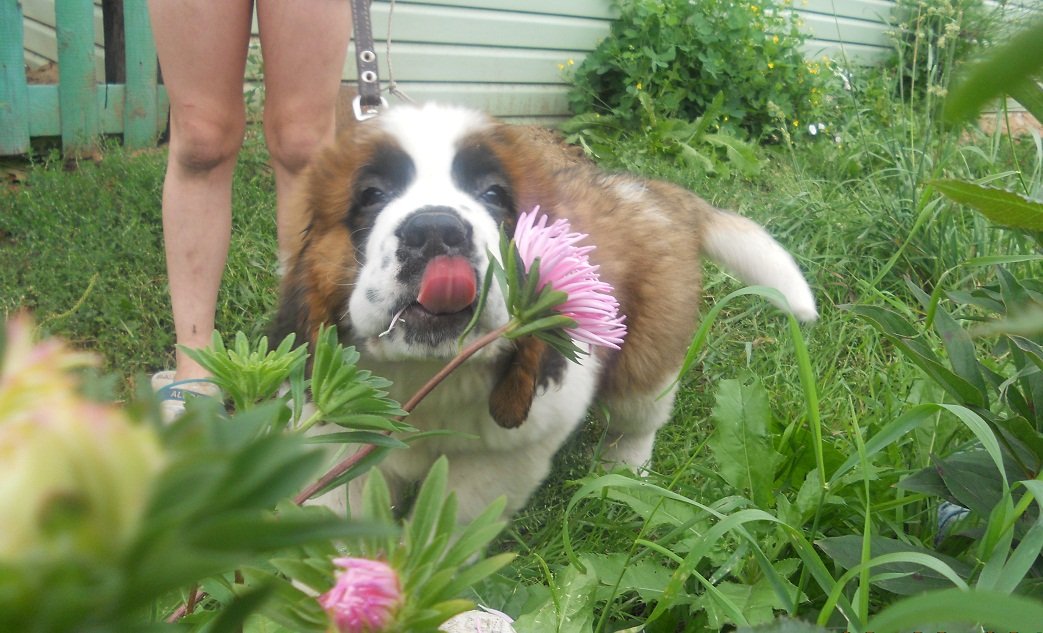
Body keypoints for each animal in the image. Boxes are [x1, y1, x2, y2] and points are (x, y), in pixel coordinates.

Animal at [274, 103, 817, 521]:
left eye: (493, 195)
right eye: (371, 195)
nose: (435, 231)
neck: (428, 376)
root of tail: (650, 194)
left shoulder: (511, 454)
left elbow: (456, 517)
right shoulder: (339, 439)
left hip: (647, 352)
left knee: (640, 414)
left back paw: (624, 471)